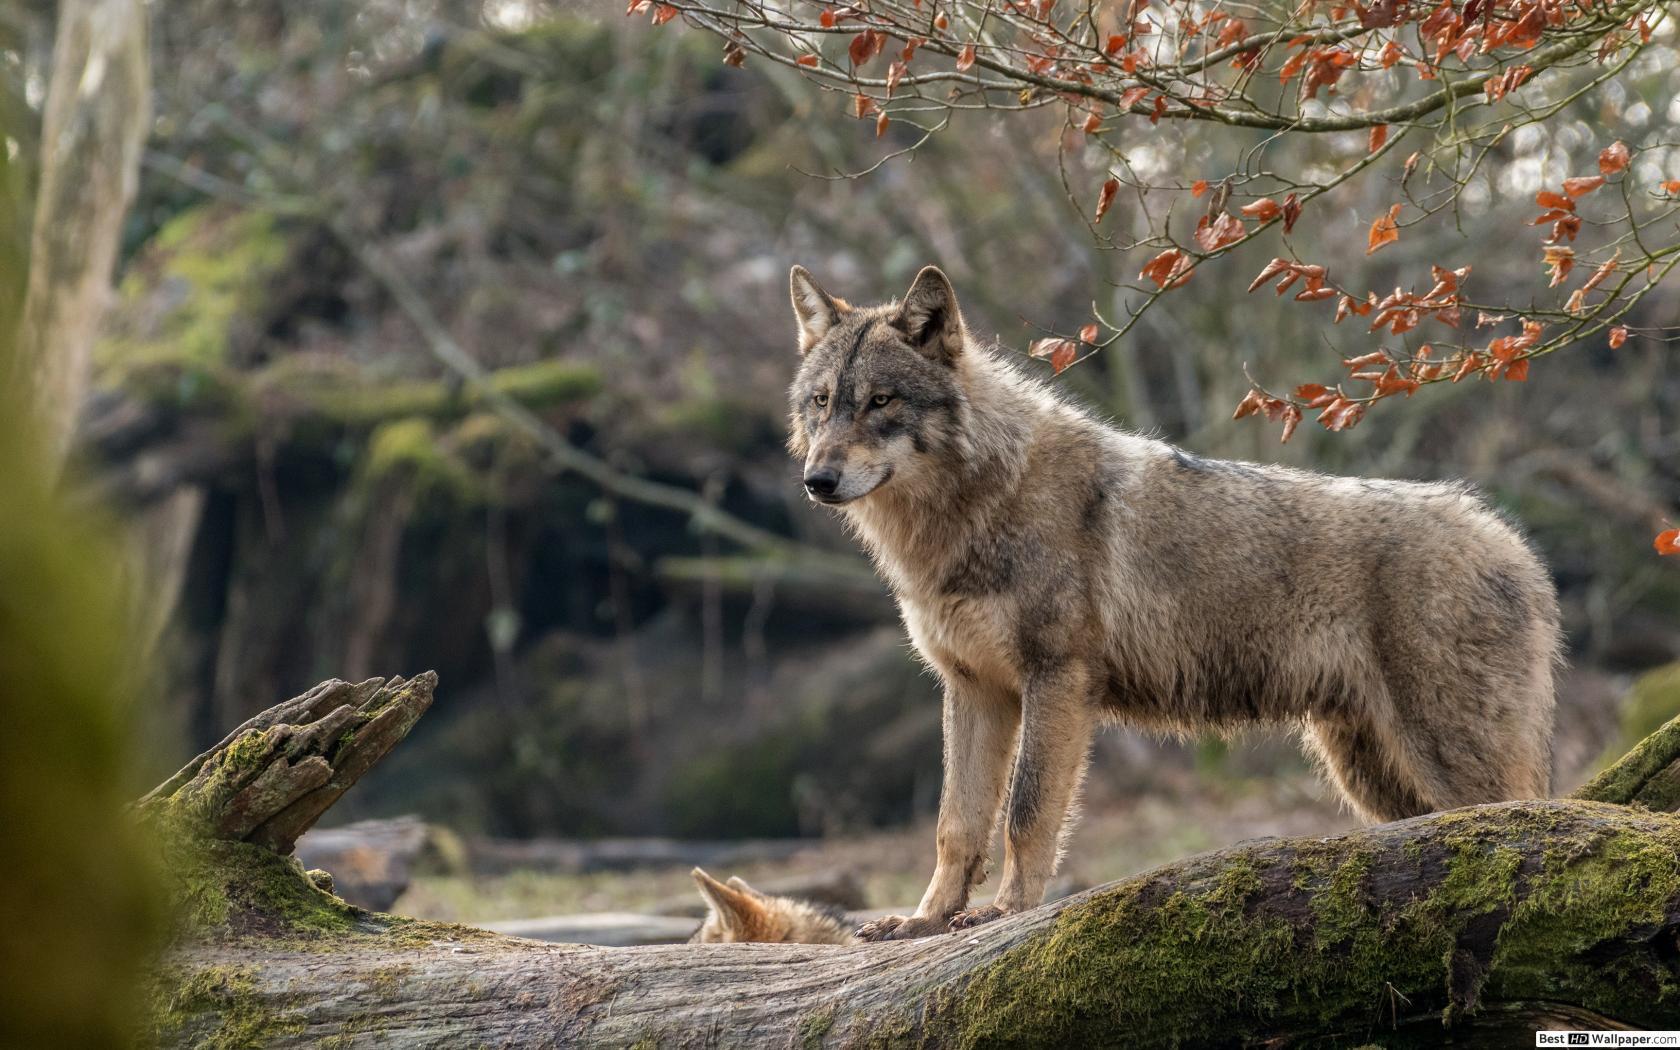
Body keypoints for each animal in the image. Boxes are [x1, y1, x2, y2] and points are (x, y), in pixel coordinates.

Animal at [785, 264, 1560, 941]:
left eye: (881, 401)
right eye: (822, 402)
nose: (817, 480)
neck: (974, 507)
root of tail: (1515, 545)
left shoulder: (1056, 680)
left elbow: (1026, 813)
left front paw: (1005, 912)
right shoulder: (974, 688)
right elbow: (957, 824)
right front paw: (923, 922)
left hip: (1443, 761)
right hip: (1371, 775)